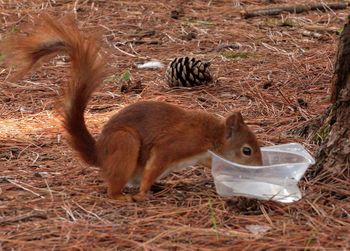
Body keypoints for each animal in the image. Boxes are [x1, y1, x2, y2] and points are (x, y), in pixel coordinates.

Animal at [1, 14, 262, 202]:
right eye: (247, 150)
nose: (260, 168)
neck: (212, 135)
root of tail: (101, 155)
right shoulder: (174, 146)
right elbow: (156, 162)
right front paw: (143, 193)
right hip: (125, 144)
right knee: (117, 185)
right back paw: (124, 196)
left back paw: (167, 184)